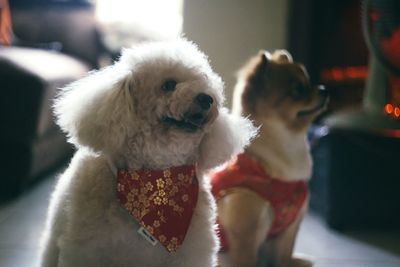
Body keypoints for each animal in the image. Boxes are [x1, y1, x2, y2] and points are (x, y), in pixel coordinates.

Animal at [209, 50, 328, 267]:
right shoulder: (247, 230)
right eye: (298, 90)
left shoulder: (289, 228)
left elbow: (283, 258)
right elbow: (247, 260)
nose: (324, 89)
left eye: (309, 81)